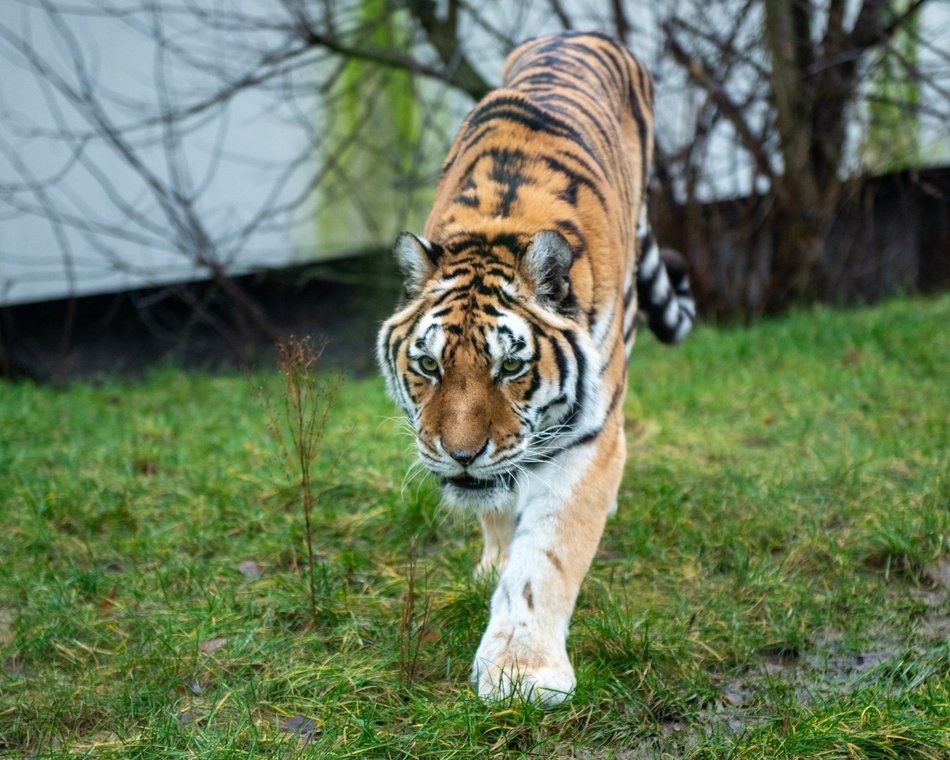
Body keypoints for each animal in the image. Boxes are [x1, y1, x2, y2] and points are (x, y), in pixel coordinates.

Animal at [376, 31, 696, 708]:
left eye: (511, 366)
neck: (497, 226)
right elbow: (499, 506)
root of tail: (581, 34)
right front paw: (492, 566)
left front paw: (521, 672)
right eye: (428, 365)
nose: (460, 454)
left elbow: (544, 559)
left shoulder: (589, 435)